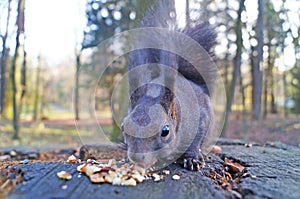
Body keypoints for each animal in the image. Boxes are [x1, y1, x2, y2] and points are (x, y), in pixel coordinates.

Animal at [120, 1, 217, 171]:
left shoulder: (200, 118)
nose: (138, 159)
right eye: (123, 127)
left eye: (165, 131)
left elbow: (196, 139)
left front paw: (192, 158)